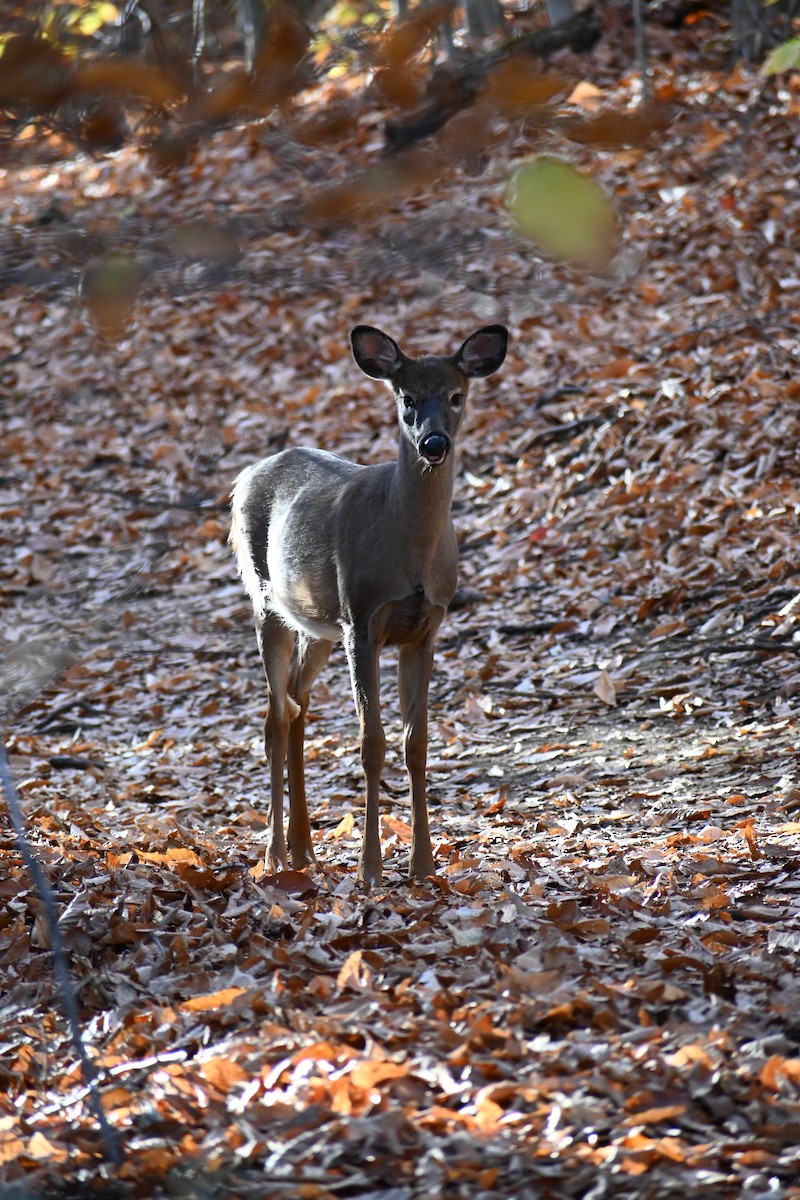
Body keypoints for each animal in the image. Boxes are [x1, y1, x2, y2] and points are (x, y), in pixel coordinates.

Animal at [230, 323, 508, 887]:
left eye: (456, 395)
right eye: (406, 398)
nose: (434, 443)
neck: (411, 553)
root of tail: (246, 473)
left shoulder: (425, 627)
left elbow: (415, 744)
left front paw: (423, 865)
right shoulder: (362, 618)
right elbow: (371, 743)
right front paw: (371, 868)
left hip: (317, 623)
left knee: (297, 703)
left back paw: (304, 850)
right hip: (266, 598)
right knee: (274, 717)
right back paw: (274, 855)